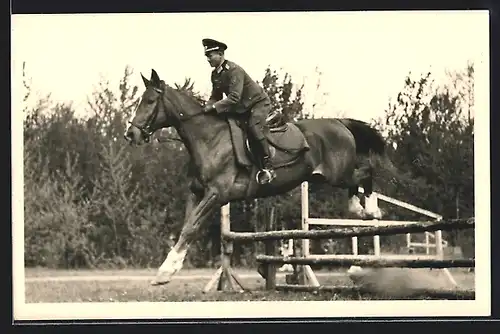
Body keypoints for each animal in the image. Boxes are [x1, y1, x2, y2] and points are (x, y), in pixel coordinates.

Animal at [126, 69, 402, 286]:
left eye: (150, 101)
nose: (131, 134)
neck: (209, 139)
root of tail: (340, 122)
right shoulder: (196, 193)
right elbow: (187, 227)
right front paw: (169, 269)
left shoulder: (217, 194)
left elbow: (190, 228)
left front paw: (164, 272)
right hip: (324, 177)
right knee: (359, 178)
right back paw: (360, 209)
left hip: (338, 174)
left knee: (365, 173)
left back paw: (369, 209)